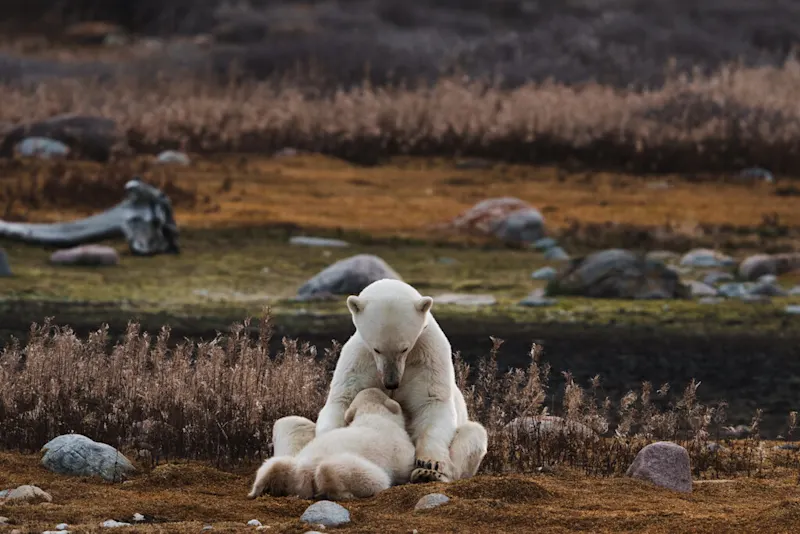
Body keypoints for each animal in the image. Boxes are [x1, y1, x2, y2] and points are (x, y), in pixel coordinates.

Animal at [248, 388, 414, 500]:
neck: (372, 413)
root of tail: (303, 470)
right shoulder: (399, 446)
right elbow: (405, 465)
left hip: (292, 468)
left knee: (274, 464)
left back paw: (257, 490)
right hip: (358, 469)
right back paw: (343, 494)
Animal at [271, 278, 488, 484]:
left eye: (404, 348)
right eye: (377, 349)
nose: (391, 383)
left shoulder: (428, 355)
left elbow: (432, 402)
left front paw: (429, 463)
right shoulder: (360, 358)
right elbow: (342, 400)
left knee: (474, 434)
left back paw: (430, 475)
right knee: (291, 423)